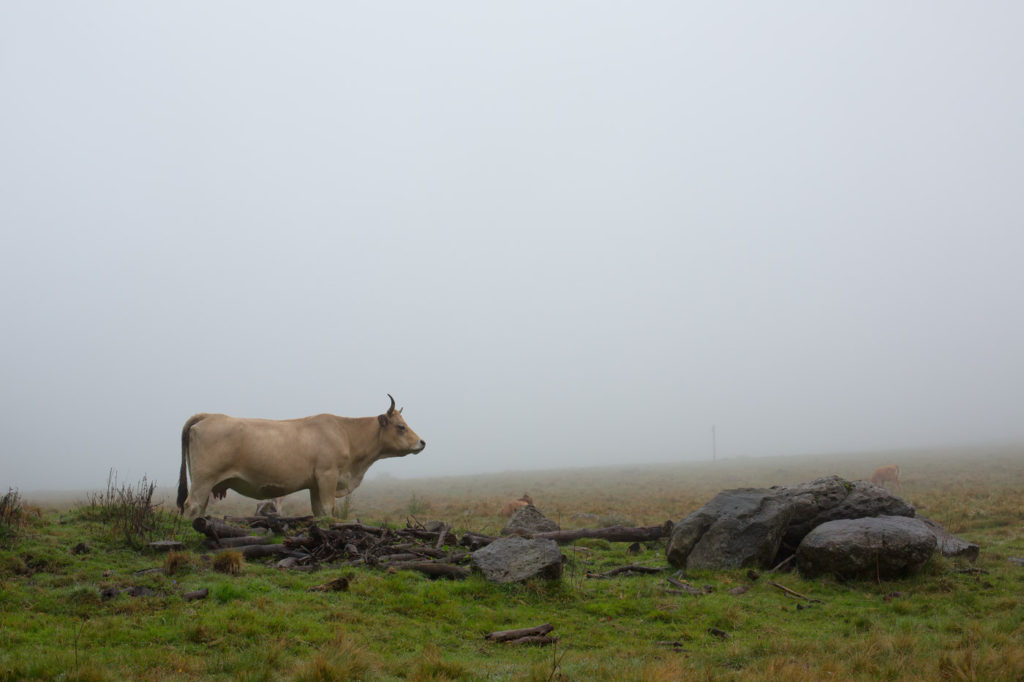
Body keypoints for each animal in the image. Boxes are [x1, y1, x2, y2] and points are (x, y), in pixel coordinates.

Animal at [178, 393, 425, 516]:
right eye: (401, 427)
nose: (422, 442)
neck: (345, 433)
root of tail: (208, 416)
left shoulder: (315, 483)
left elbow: (318, 511)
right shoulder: (327, 475)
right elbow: (327, 509)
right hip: (203, 479)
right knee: (192, 506)